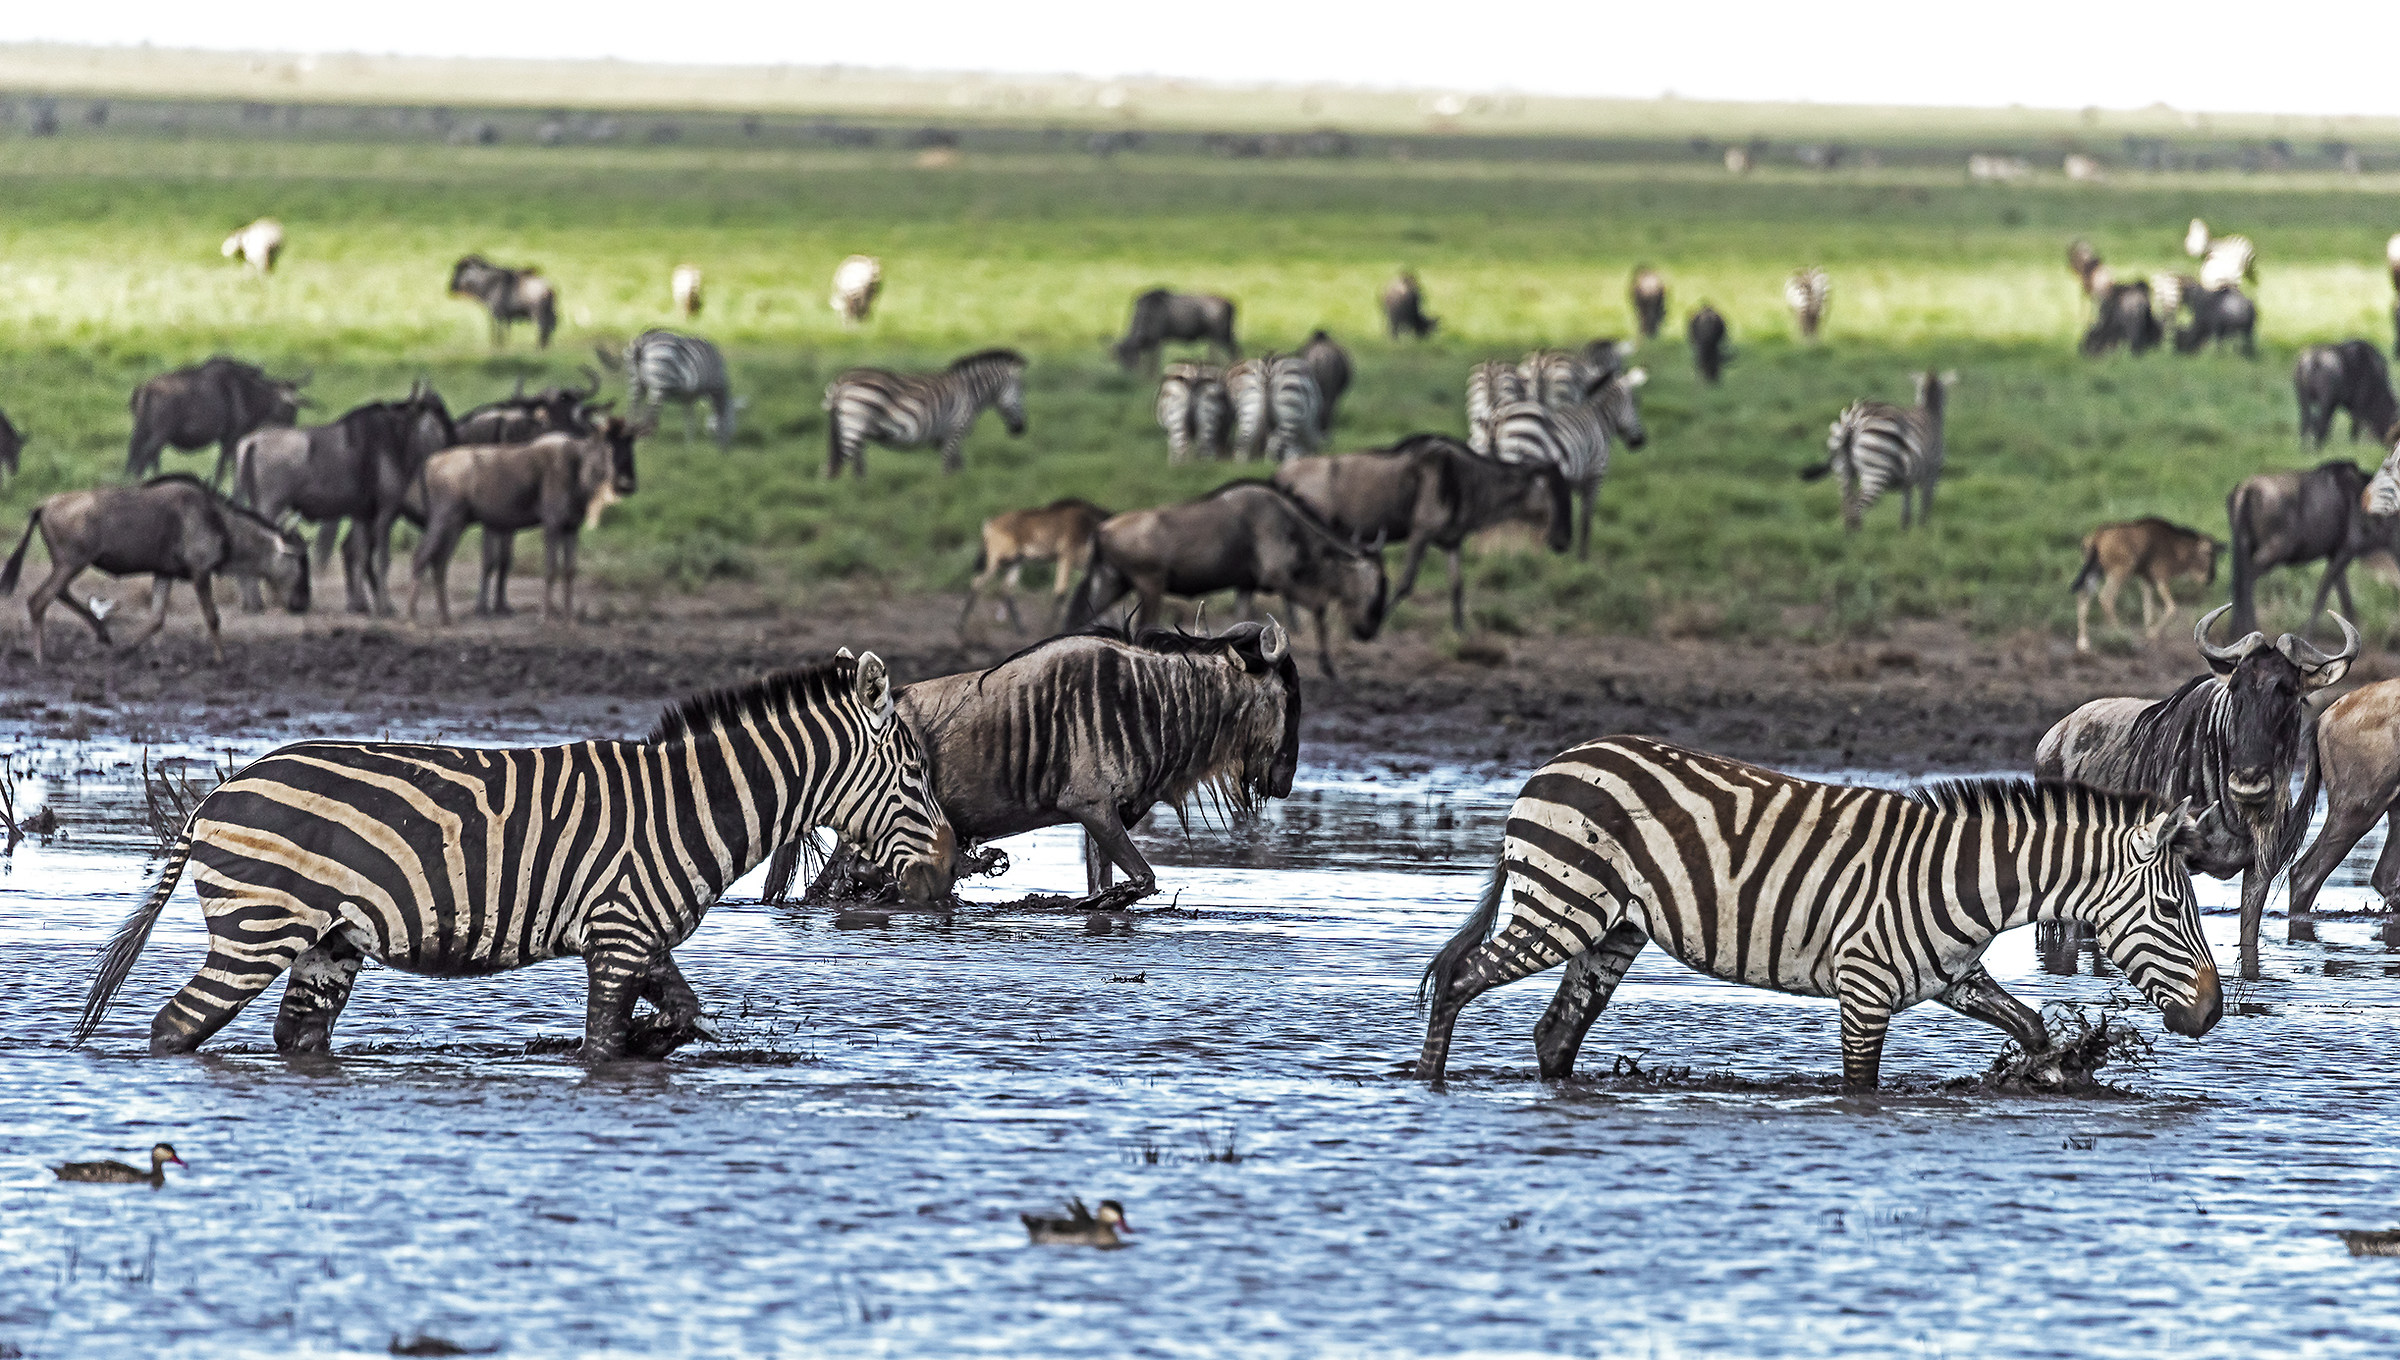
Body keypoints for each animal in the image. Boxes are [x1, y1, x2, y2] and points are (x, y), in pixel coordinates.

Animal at [70, 654, 958, 1060]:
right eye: (916, 773)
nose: (947, 870)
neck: (690, 804)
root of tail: (215, 796)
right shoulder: (619, 936)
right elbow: (602, 1044)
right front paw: (617, 1053)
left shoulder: (642, 935)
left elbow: (683, 1012)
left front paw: (654, 1042)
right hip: (259, 929)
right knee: (174, 1027)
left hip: (326, 944)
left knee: (297, 1038)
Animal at [824, 349, 1028, 477]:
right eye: (1021, 391)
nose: (1020, 429)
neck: (970, 391)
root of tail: (840, 381)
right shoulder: (955, 430)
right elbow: (948, 465)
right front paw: (948, 492)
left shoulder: (948, 435)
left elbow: (958, 466)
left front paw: (960, 488)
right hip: (854, 423)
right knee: (846, 462)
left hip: (854, 429)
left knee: (856, 466)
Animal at [1415, 736, 2226, 1090]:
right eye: (2168, 905)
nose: (2214, 1013)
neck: (1964, 879)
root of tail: (1552, 763)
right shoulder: (1864, 991)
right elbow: (1859, 1088)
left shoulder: (1954, 978)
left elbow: (2028, 1024)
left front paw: (2049, 1069)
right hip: (1562, 907)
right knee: (1459, 978)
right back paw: (1425, 1084)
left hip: (1611, 928)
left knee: (1555, 1031)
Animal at [1487, 367, 1648, 561]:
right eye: (1636, 402)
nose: (1640, 441)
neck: (1599, 420)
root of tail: (1499, 417)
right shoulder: (1595, 475)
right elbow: (1586, 518)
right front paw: (1582, 558)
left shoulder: (1567, 481)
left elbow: (1564, 511)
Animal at [1801, 370, 1954, 531]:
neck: (1930, 412)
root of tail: (1854, 421)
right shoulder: (1932, 470)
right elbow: (1926, 502)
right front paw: (1923, 530)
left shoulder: (1909, 479)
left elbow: (1906, 507)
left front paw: (1906, 532)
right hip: (1875, 469)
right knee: (1857, 507)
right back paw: (1862, 537)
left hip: (1842, 470)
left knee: (1847, 507)